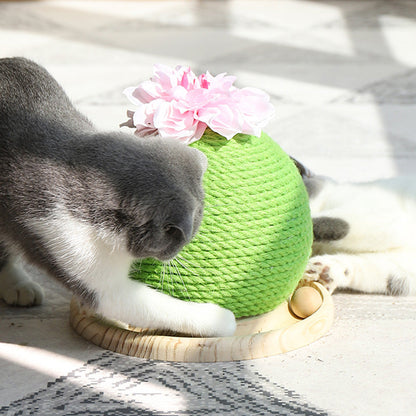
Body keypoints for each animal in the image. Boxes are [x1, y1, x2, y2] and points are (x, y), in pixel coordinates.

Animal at [0, 58, 237, 336]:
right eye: (179, 239)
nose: (173, 256)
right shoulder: (67, 244)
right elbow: (151, 306)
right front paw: (221, 319)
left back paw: (18, 286)